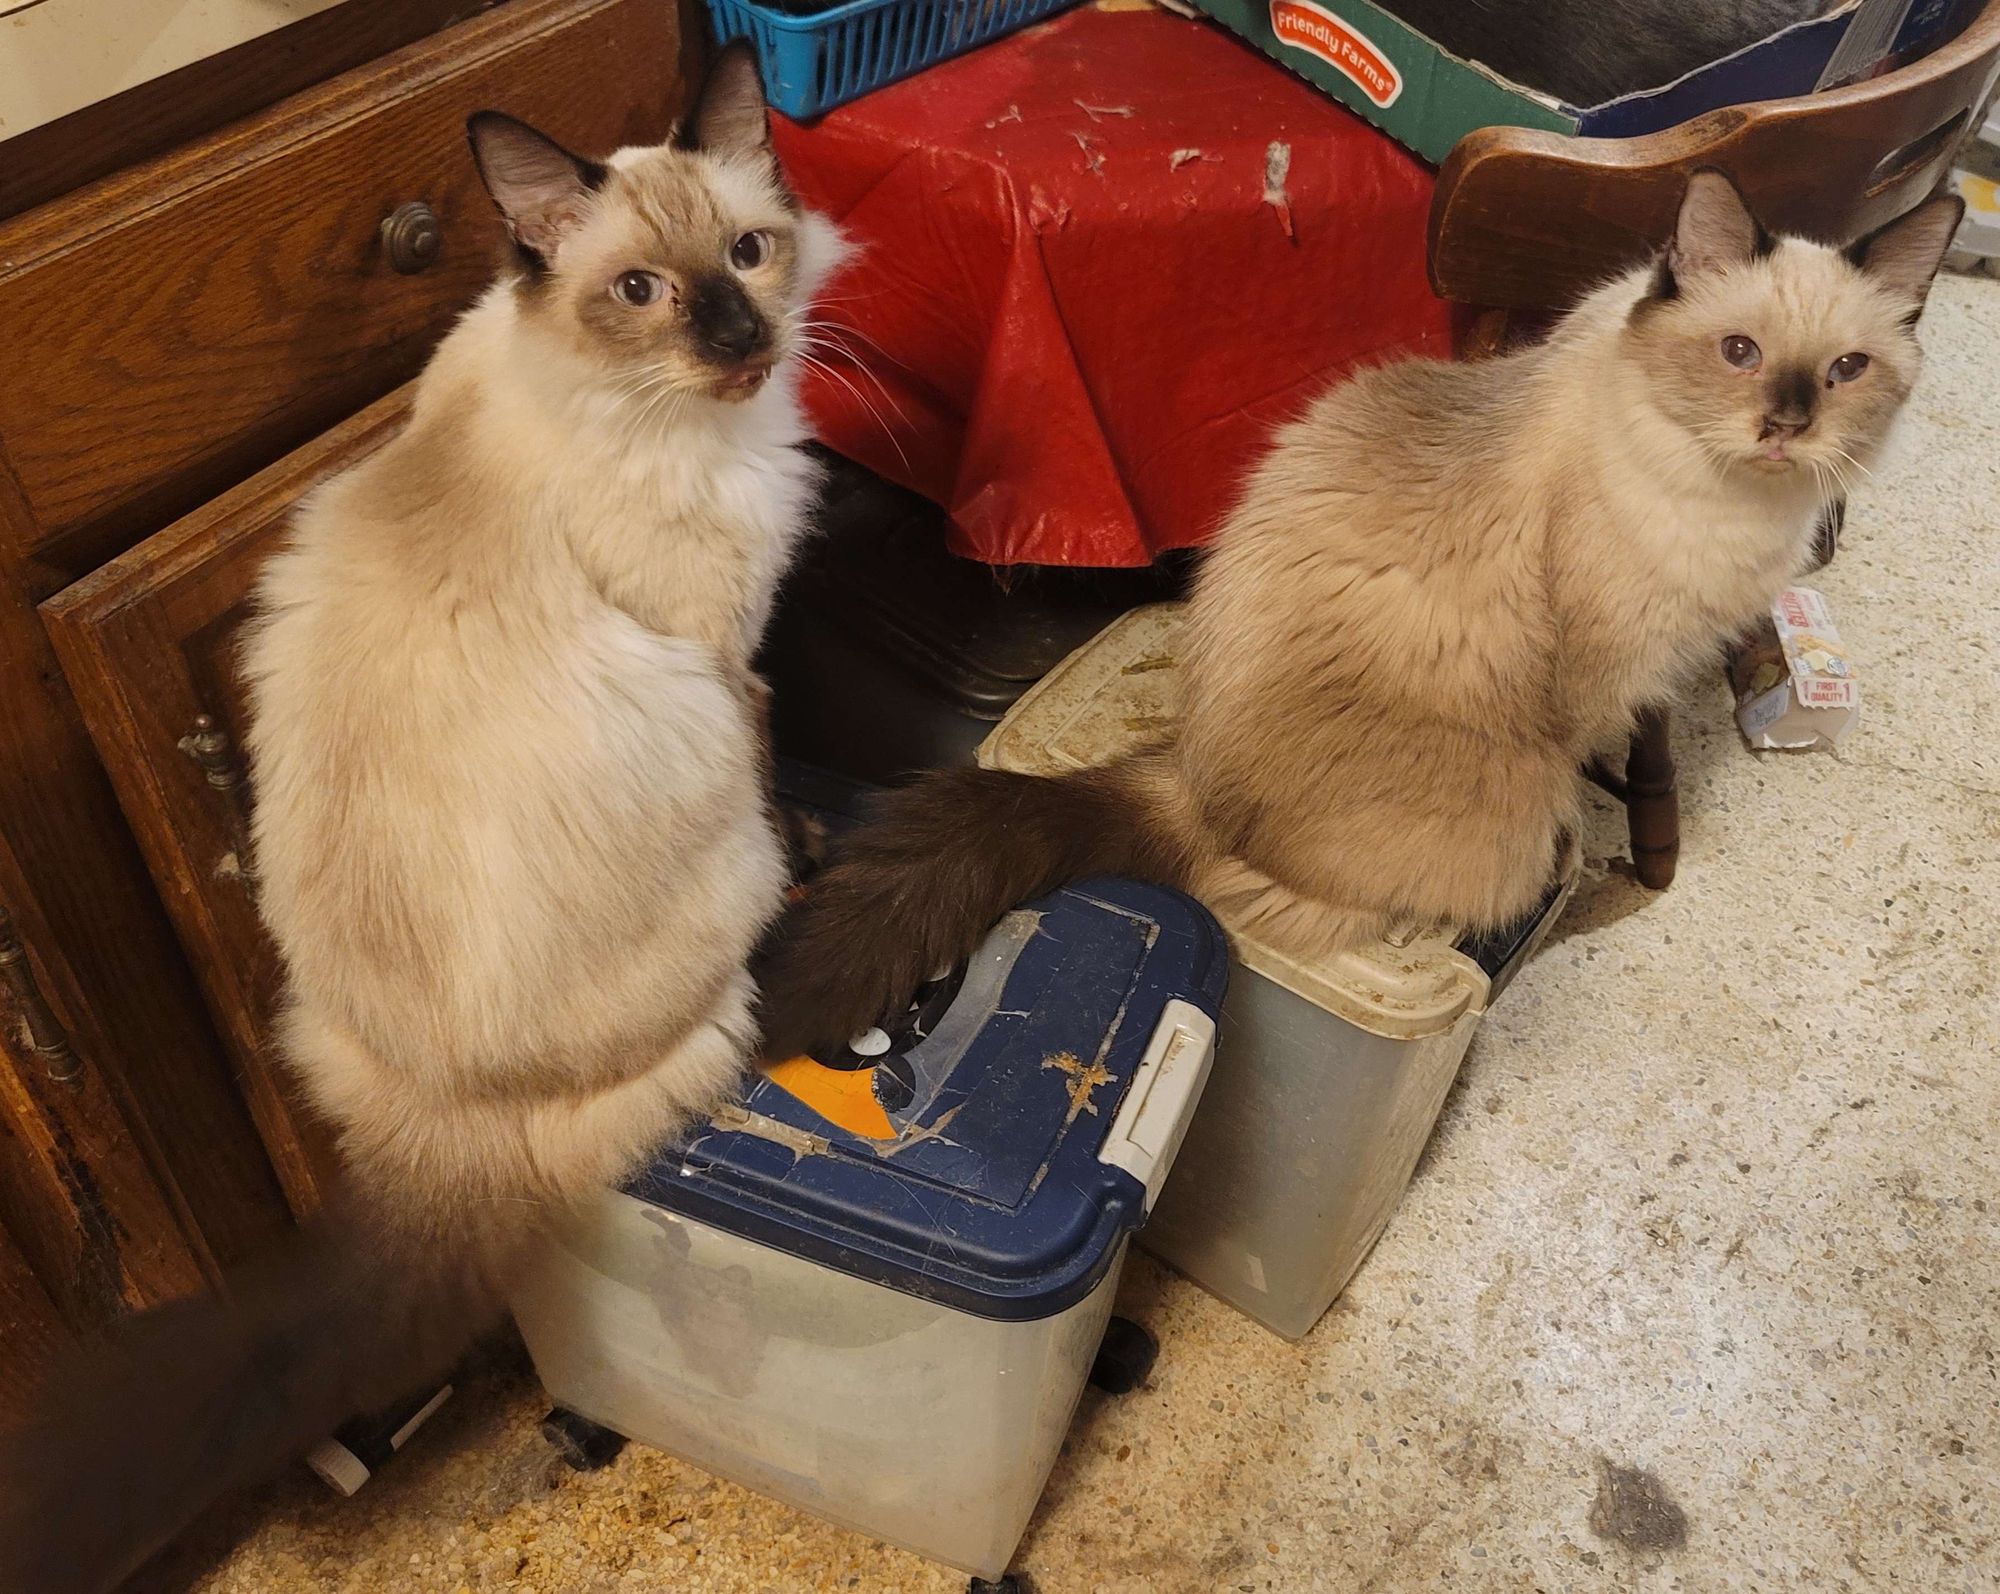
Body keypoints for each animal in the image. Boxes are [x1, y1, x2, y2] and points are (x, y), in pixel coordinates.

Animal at [0, 40, 844, 1592]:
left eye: (750, 253)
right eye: (641, 291)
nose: (738, 334)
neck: (617, 396)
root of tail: (447, 1129)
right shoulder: (724, 658)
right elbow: (773, 749)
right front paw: (817, 844)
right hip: (694, 770)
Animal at [756, 174, 1960, 1064]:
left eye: (1844, 371)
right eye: (1737, 354)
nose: (1784, 426)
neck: (1727, 498)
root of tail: (1185, 782)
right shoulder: (1600, 681)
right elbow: (1589, 775)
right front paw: (1578, 870)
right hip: (1497, 798)